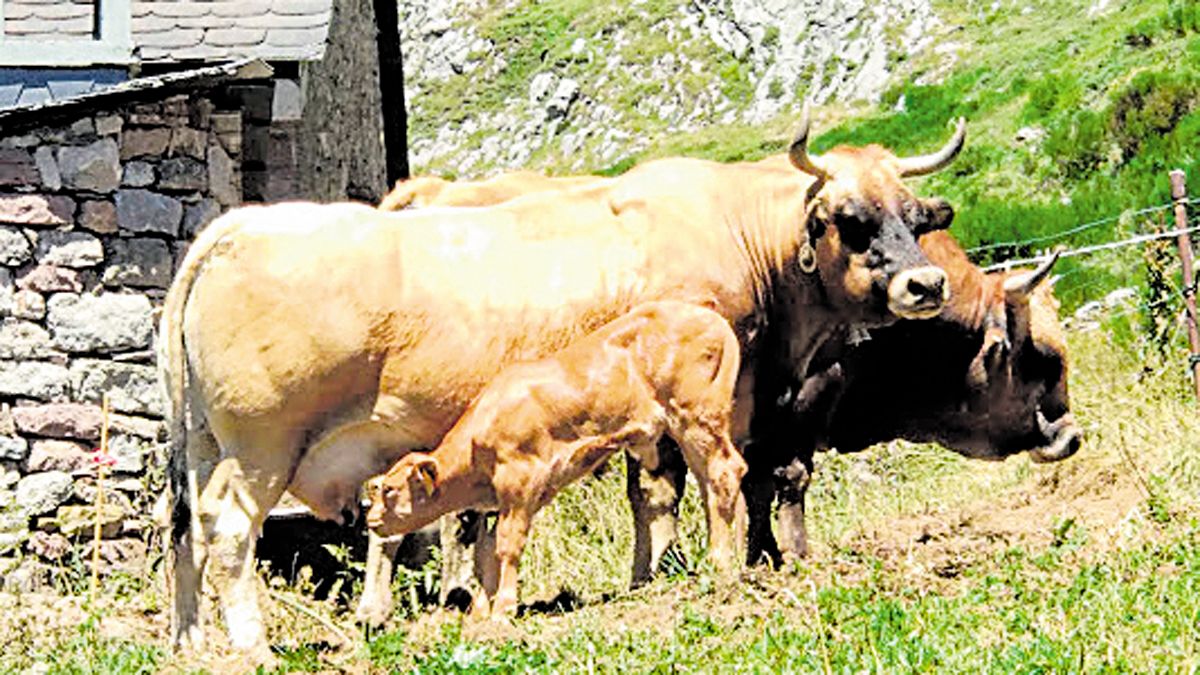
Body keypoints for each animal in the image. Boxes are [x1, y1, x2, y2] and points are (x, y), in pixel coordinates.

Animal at [362, 300, 748, 614]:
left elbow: (507, 546)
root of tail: (711, 318)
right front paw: (481, 614)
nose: (371, 519)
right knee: (715, 482)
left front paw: (503, 609)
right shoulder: (494, 503)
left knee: (725, 471)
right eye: (377, 489)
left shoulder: (519, 485)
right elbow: (484, 555)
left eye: (391, 490)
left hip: (697, 417)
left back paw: (721, 563)